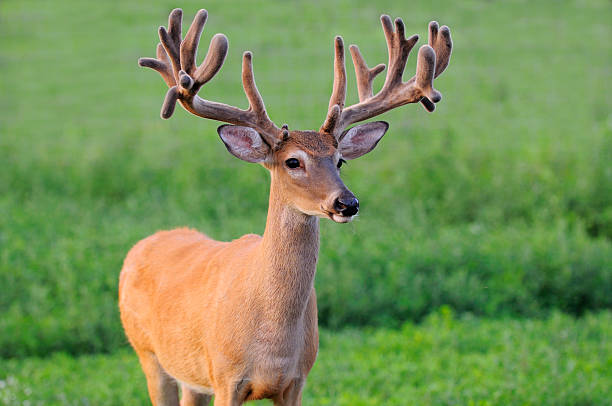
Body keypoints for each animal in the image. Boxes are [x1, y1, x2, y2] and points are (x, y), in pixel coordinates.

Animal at [122, 7, 452, 404]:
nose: (347, 203)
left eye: (340, 160)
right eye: (293, 162)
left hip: (189, 375)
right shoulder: (225, 377)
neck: (273, 337)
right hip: (148, 354)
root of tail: (144, 244)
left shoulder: (296, 379)